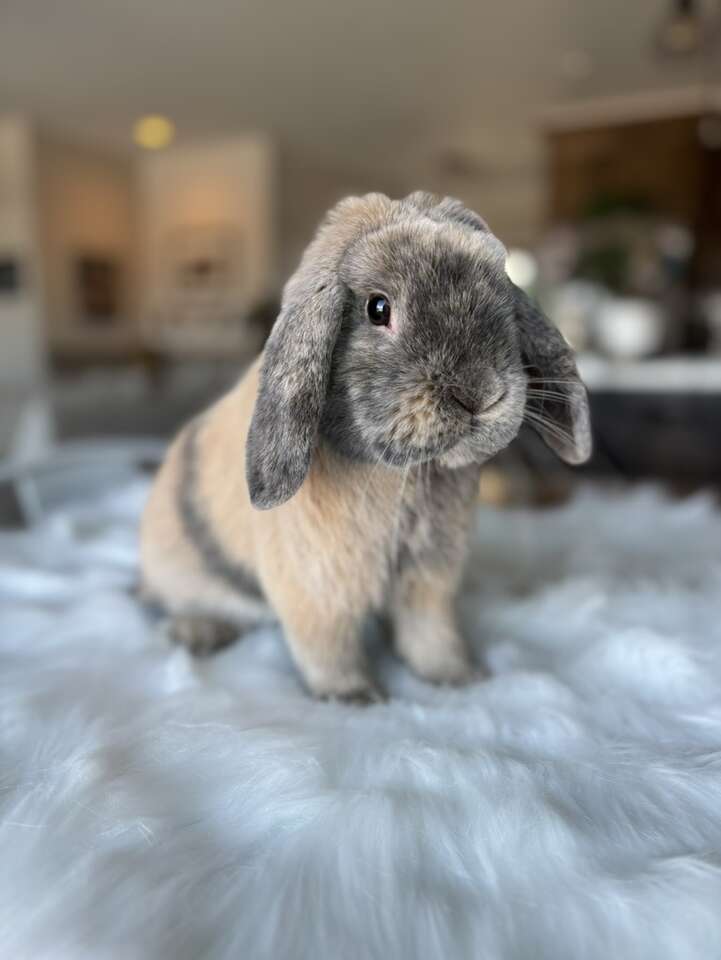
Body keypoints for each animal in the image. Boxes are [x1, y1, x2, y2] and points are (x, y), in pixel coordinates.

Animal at [138, 193, 588, 704]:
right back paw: (198, 632)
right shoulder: (318, 589)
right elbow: (328, 648)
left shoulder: (428, 579)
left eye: (504, 301)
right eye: (378, 308)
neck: (407, 478)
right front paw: (356, 698)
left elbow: (430, 635)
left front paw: (459, 678)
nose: (481, 394)